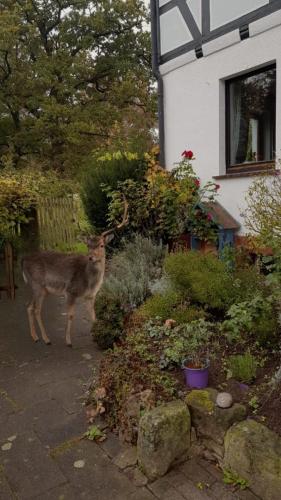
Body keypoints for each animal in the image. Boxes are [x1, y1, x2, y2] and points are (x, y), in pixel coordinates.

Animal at [21, 197, 128, 346]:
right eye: (88, 245)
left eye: (101, 245)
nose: (91, 257)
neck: (89, 281)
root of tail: (23, 260)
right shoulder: (70, 291)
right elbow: (71, 315)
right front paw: (68, 340)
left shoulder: (91, 296)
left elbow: (93, 316)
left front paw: (101, 338)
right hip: (37, 284)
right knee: (36, 309)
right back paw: (46, 339)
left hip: (41, 289)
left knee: (29, 306)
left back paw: (35, 336)